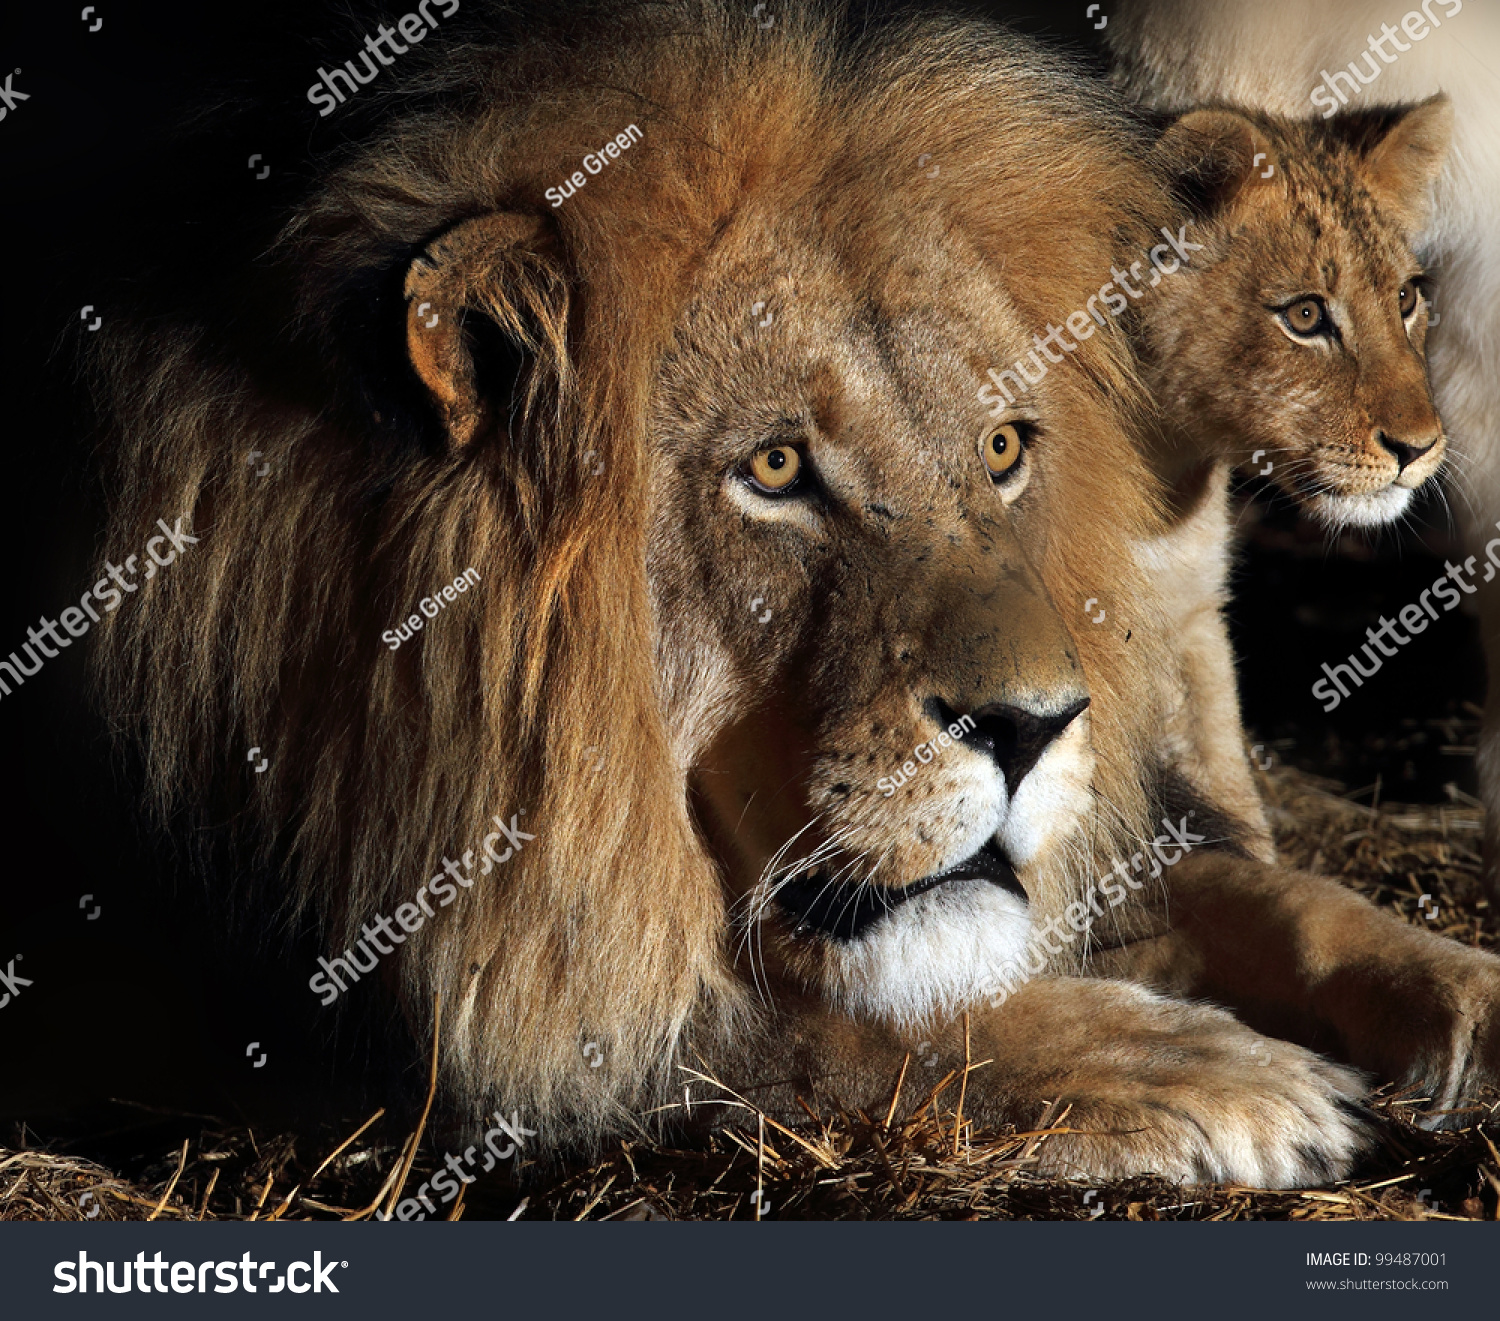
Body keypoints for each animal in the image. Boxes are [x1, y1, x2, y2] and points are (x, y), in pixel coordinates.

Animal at [90, 0, 1500, 1193]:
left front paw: (1469, 998)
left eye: (1003, 448)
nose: (1035, 729)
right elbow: (771, 1031)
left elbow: (1268, 890)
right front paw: (1211, 1073)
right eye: (774, 469)